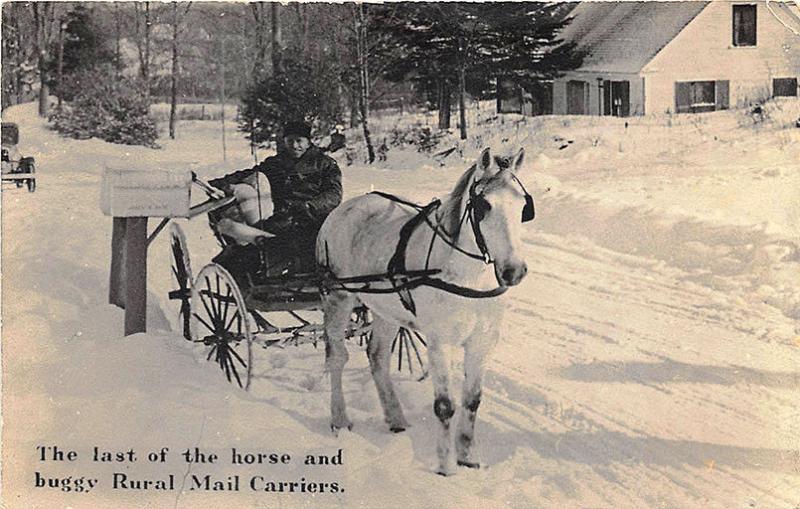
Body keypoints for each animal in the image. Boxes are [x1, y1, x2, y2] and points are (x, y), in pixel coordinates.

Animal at [318, 146, 532, 472]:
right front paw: (445, 467)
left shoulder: (482, 342)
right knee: (337, 358)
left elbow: (472, 401)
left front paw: (467, 458)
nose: (514, 271)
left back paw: (395, 417)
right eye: (483, 206)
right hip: (338, 297)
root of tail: (343, 208)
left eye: (523, 206)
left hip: (385, 309)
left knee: (377, 357)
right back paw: (339, 418)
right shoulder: (439, 342)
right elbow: (445, 406)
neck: (466, 276)